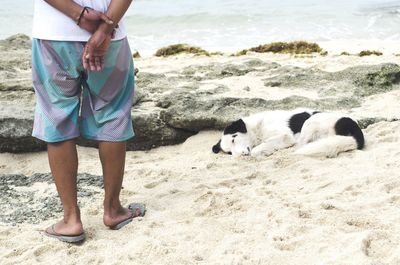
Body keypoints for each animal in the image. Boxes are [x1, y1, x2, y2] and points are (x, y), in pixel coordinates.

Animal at [214, 108, 364, 157]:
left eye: (234, 138)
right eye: (229, 152)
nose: (239, 156)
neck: (257, 127)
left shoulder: (285, 136)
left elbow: (257, 149)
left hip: (311, 121)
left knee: (301, 145)